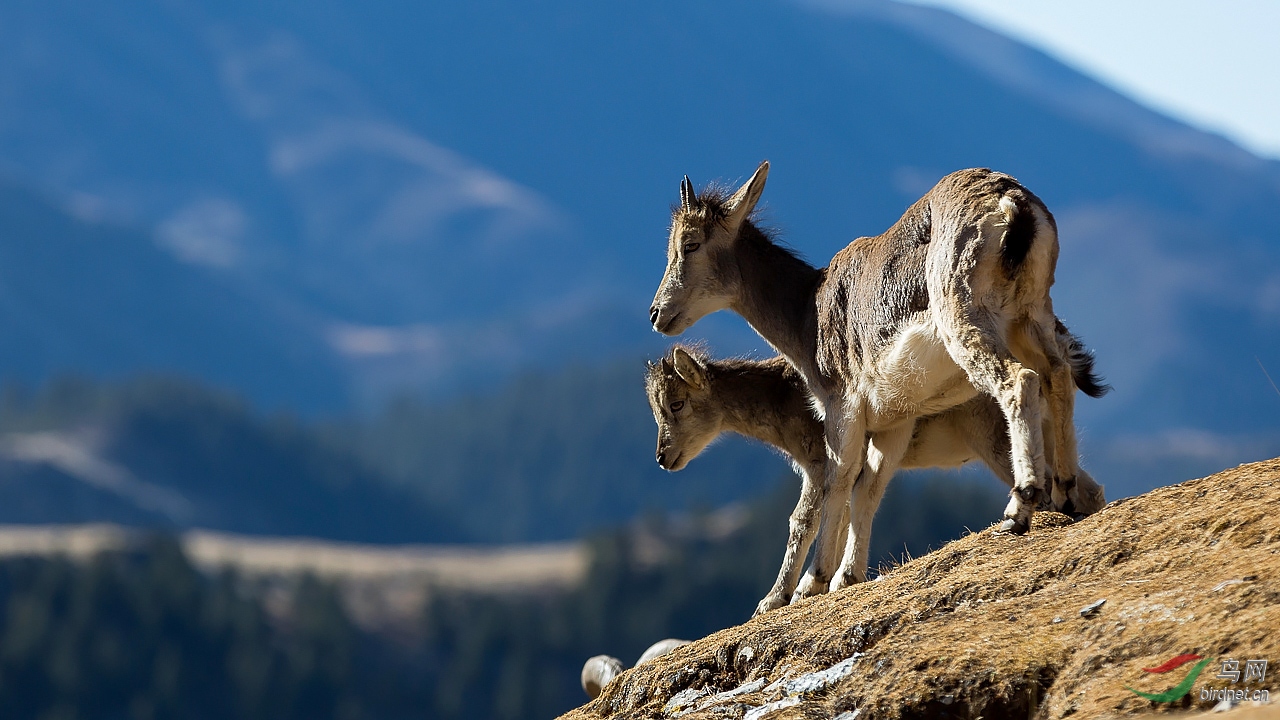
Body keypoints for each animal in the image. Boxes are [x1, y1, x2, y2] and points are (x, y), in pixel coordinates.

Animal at [645, 338, 1105, 614]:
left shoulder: (819, 461)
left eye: (677, 403)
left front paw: (776, 598)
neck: (783, 399)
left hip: (995, 442)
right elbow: (842, 513)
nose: (663, 457)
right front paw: (826, 579)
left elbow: (802, 520)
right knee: (1087, 486)